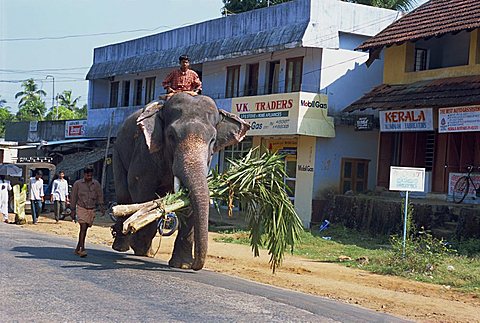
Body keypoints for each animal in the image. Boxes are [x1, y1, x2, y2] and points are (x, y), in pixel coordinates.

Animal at [110, 93, 249, 270]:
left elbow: (188, 202)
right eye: (171, 136)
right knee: (124, 195)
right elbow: (141, 189)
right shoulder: (145, 150)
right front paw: (139, 245)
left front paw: (182, 265)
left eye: (213, 140)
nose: (196, 265)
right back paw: (125, 247)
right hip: (117, 152)